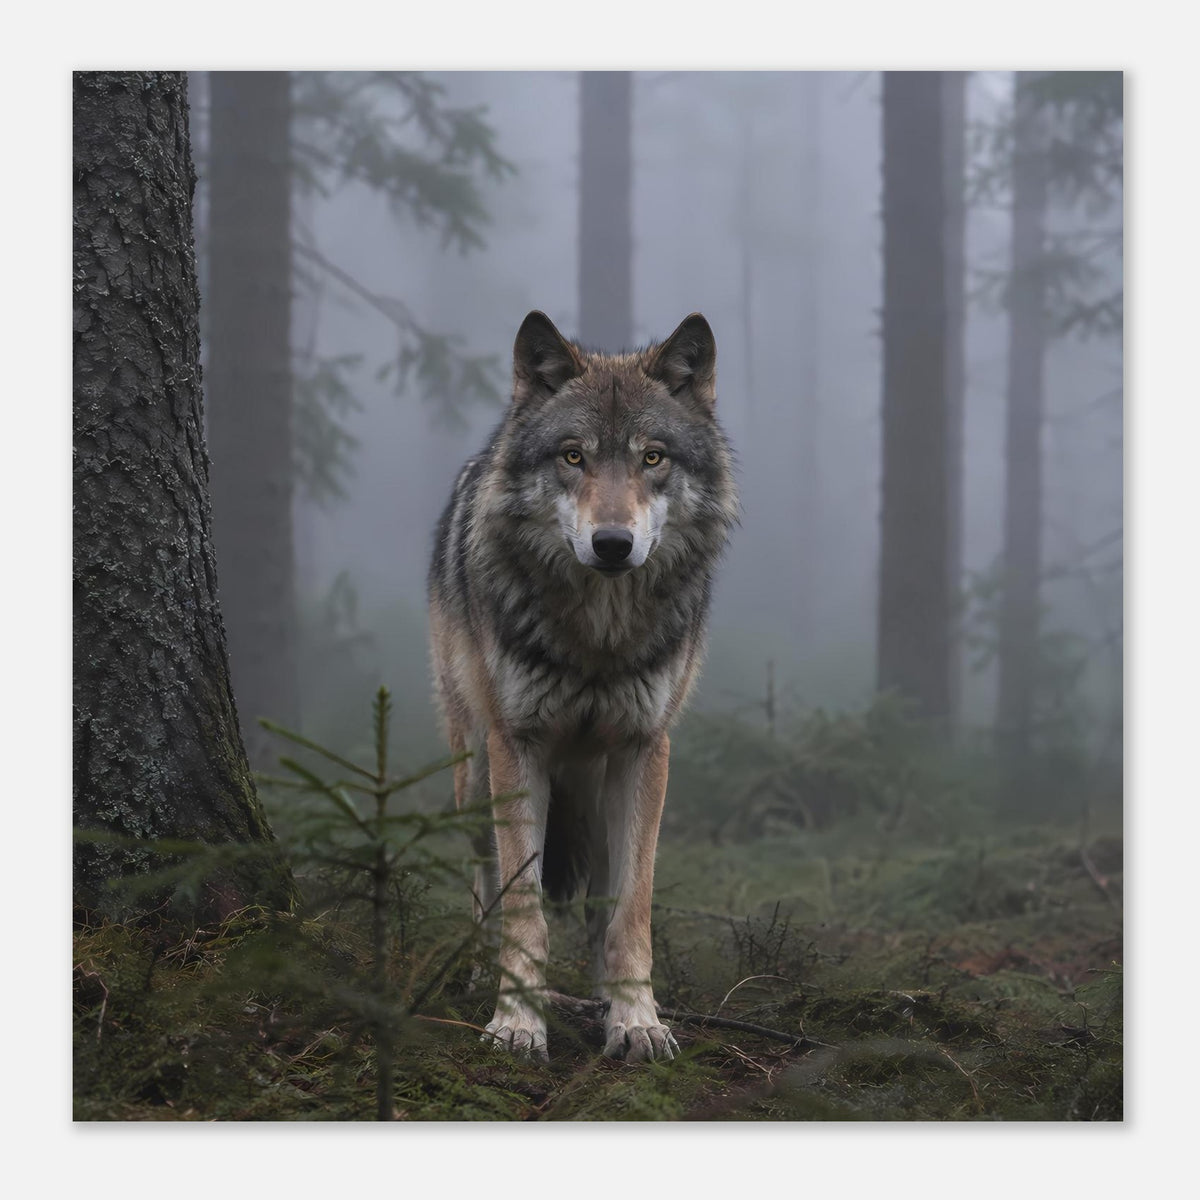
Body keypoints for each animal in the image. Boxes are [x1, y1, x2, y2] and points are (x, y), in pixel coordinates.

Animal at [428, 310, 737, 1062]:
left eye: (653, 458)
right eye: (573, 457)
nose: (612, 544)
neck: (599, 636)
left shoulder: (644, 750)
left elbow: (631, 910)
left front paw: (636, 1019)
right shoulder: (518, 746)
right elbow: (523, 908)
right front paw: (516, 1022)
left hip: (596, 792)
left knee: (600, 899)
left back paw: (602, 998)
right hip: (474, 772)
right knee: (483, 883)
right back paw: (474, 975)